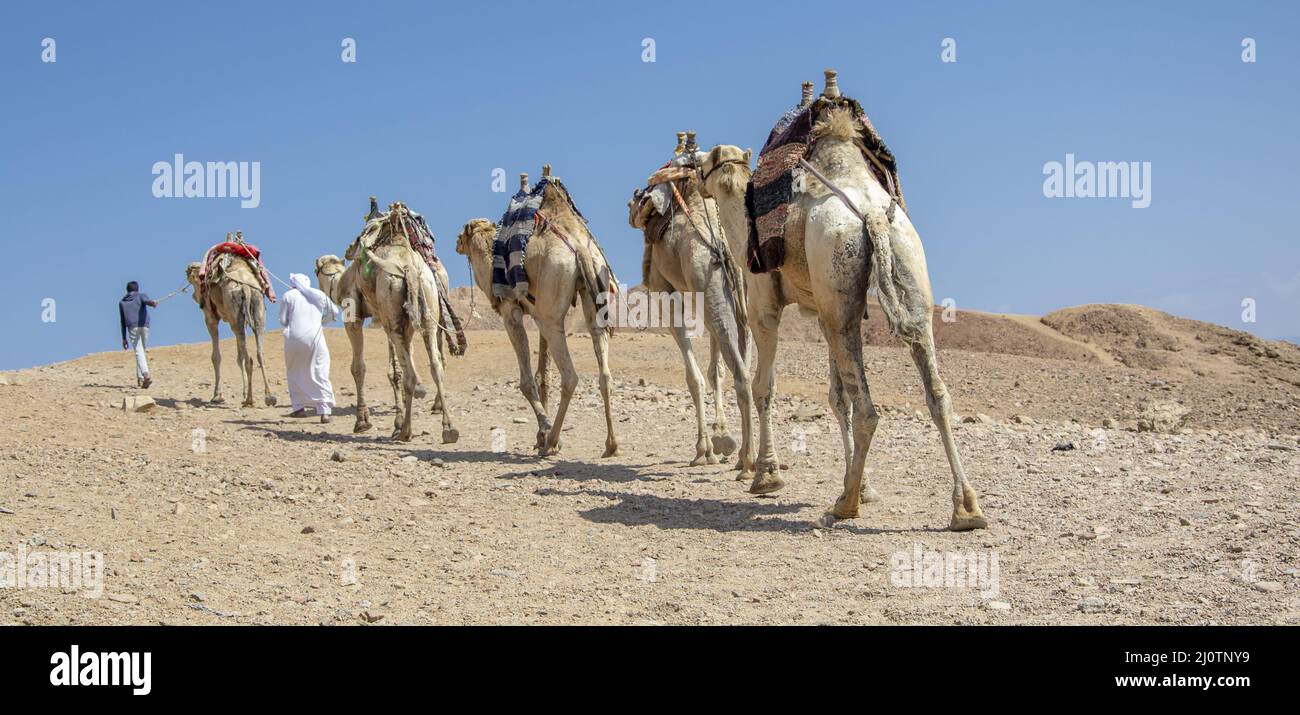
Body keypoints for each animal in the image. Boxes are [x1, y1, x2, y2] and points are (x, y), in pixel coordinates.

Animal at [184, 255, 276, 408]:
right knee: (259, 353)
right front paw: (243, 392)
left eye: (192, 278)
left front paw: (217, 395)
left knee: (249, 358)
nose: (195, 296)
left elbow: (216, 356)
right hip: (257, 309)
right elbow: (239, 357)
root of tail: (245, 287)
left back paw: (249, 399)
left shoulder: (211, 318)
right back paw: (269, 397)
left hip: (235, 310)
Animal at [317, 202, 458, 443]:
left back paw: (406, 431)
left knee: (411, 374)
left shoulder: (353, 315)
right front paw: (396, 418)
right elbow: (396, 369)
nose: (349, 249)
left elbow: (359, 367)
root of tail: (410, 270)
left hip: (395, 312)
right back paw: (448, 427)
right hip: (425, 309)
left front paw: (362, 421)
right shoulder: (391, 320)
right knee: (436, 364)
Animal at [456, 166, 618, 458]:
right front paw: (539, 436)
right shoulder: (538, 311)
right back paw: (610, 444)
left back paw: (553, 440)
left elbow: (527, 380)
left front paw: (544, 434)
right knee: (604, 373)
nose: (455, 242)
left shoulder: (511, 312)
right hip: (590, 296)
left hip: (552, 311)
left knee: (571, 376)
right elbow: (544, 375)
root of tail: (579, 247)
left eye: (463, 235)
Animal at [628, 133, 753, 471]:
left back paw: (751, 463)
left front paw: (705, 448)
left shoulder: (666, 290)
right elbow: (714, 370)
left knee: (741, 371)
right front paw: (721, 434)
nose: (635, 200)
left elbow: (694, 376)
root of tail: (722, 242)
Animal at [699, 70, 987, 531]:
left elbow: (766, 387)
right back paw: (966, 508)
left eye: (705, 164)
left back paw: (845, 504)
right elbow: (838, 399)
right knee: (936, 394)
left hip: (840, 294)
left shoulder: (766, 305)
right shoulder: (822, 310)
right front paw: (864, 484)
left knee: (869, 409)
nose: (694, 174)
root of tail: (871, 216)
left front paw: (766, 476)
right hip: (899, 282)